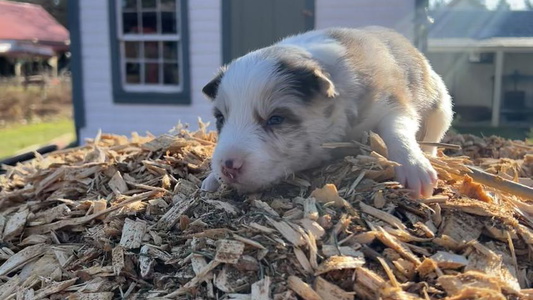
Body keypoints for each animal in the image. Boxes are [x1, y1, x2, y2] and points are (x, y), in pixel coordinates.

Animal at [201, 26, 454, 199]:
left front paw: (414, 169)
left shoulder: (392, 103)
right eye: (220, 118)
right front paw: (211, 178)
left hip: (442, 109)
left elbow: (396, 130)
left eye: (275, 119)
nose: (228, 166)